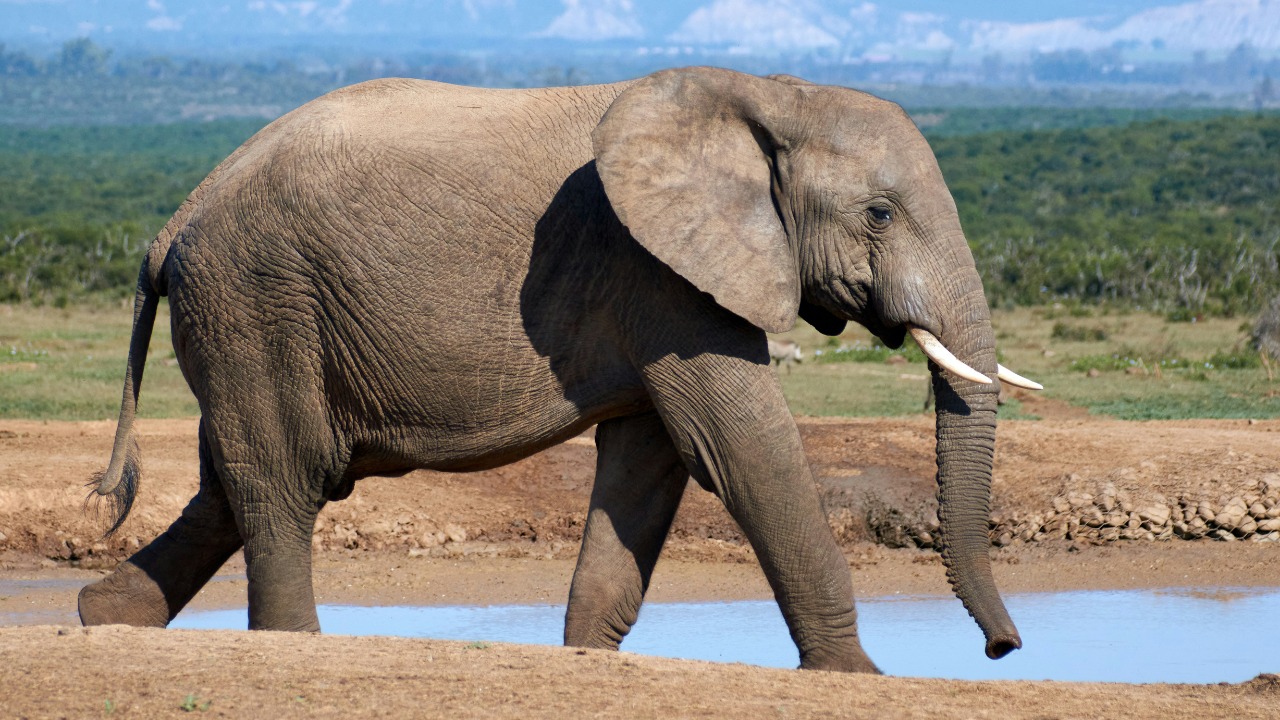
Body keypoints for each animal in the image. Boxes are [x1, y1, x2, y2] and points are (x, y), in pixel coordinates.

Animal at [77, 66, 1042, 673]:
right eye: (879, 213)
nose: (1004, 649)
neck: (768, 96)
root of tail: (174, 221)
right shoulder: (657, 268)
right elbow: (739, 446)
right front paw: (858, 675)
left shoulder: (660, 284)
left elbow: (650, 463)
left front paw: (586, 658)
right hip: (257, 299)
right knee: (283, 480)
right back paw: (286, 642)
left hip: (249, 319)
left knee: (232, 482)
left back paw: (102, 618)